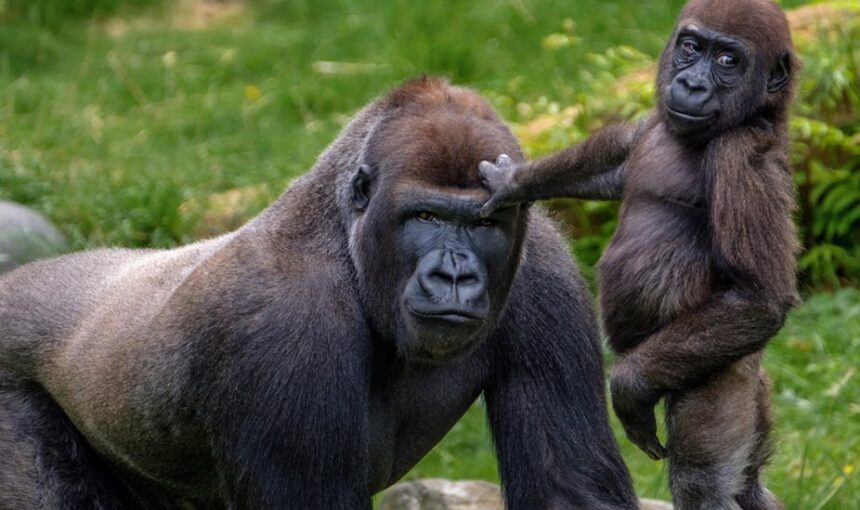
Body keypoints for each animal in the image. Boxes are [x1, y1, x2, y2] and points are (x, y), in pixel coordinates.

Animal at [0, 77, 637, 509]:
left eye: (484, 224)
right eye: (425, 216)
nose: (454, 276)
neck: (343, 241)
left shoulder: (545, 272)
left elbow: (568, 488)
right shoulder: (285, 326)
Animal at [479, 1, 799, 508]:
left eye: (728, 60)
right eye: (691, 47)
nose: (692, 84)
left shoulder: (744, 157)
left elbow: (758, 297)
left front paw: (627, 388)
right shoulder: (654, 124)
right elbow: (615, 162)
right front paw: (514, 184)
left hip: (725, 374)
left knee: (703, 480)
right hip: (756, 393)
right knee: (749, 480)